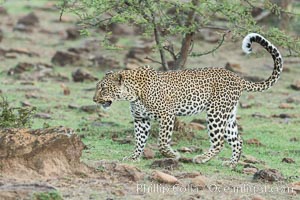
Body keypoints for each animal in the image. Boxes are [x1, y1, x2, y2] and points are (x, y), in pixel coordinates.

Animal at [94, 33, 284, 169]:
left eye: (103, 88)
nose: (94, 99)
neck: (133, 93)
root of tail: (236, 77)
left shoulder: (166, 115)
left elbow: (162, 142)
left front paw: (173, 155)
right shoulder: (141, 119)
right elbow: (139, 141)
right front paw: (133, 157)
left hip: (215, 113)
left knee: (219, 142)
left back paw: (201, 158)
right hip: (228, 115)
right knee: (237, 140)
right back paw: (231, 163)